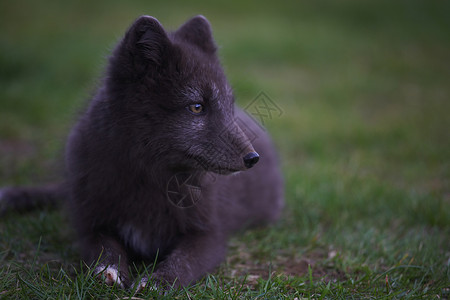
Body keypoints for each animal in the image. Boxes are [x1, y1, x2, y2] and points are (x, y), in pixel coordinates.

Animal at [0, 15, 282, 290]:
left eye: (228, 105)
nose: (253, 159)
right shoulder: (90, 222)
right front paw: (109, 270)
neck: (149, 177)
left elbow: (184, 261)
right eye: (197, 107)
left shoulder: (210, 234)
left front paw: (159, 281)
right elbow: (102, 247)